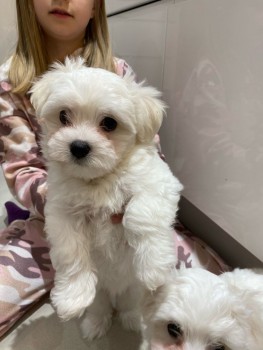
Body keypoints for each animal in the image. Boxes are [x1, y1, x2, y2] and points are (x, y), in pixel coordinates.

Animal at [30, 57, 184, 340]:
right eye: (63, 116)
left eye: (109, 124)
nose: (79, 146)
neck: (99, 179)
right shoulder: (61, 212)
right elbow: (70, 250)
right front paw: (71, 298)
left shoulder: (158, 182)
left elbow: (139, 214)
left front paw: (154, 269)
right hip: (101, 291)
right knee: (100, 305)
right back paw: (95, 324)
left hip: (132, 289)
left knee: (129, 303)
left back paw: (132, 319)